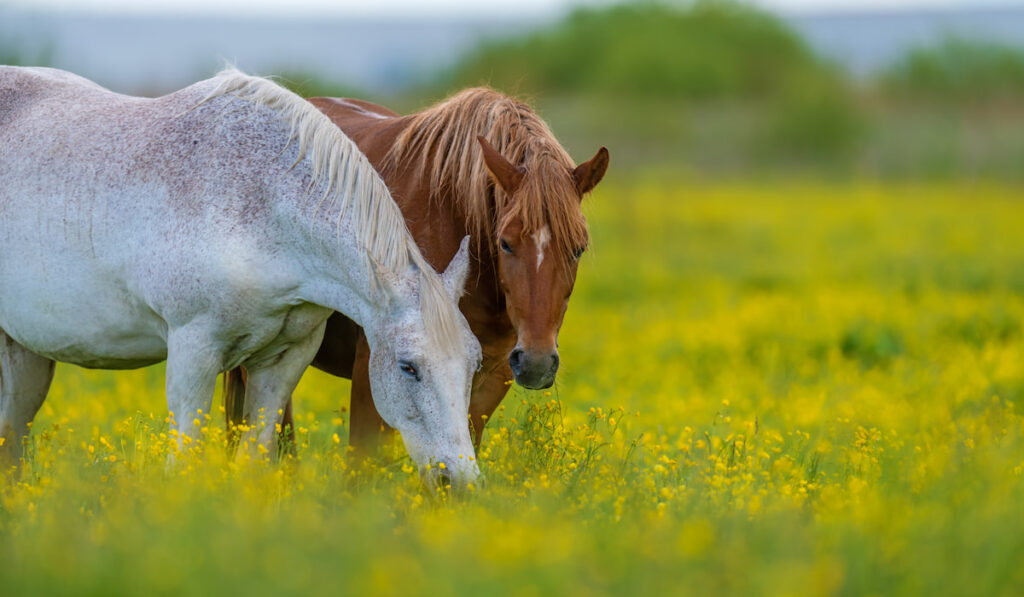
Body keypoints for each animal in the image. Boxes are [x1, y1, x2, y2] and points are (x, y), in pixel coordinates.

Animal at [0, 67, 481, 487]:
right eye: (408, 367)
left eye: (474, 363)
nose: (458, 482)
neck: (261, 206)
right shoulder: (193, 350)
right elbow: (184, 460)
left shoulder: (284, 359)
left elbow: (253, 459)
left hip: (25, 356)